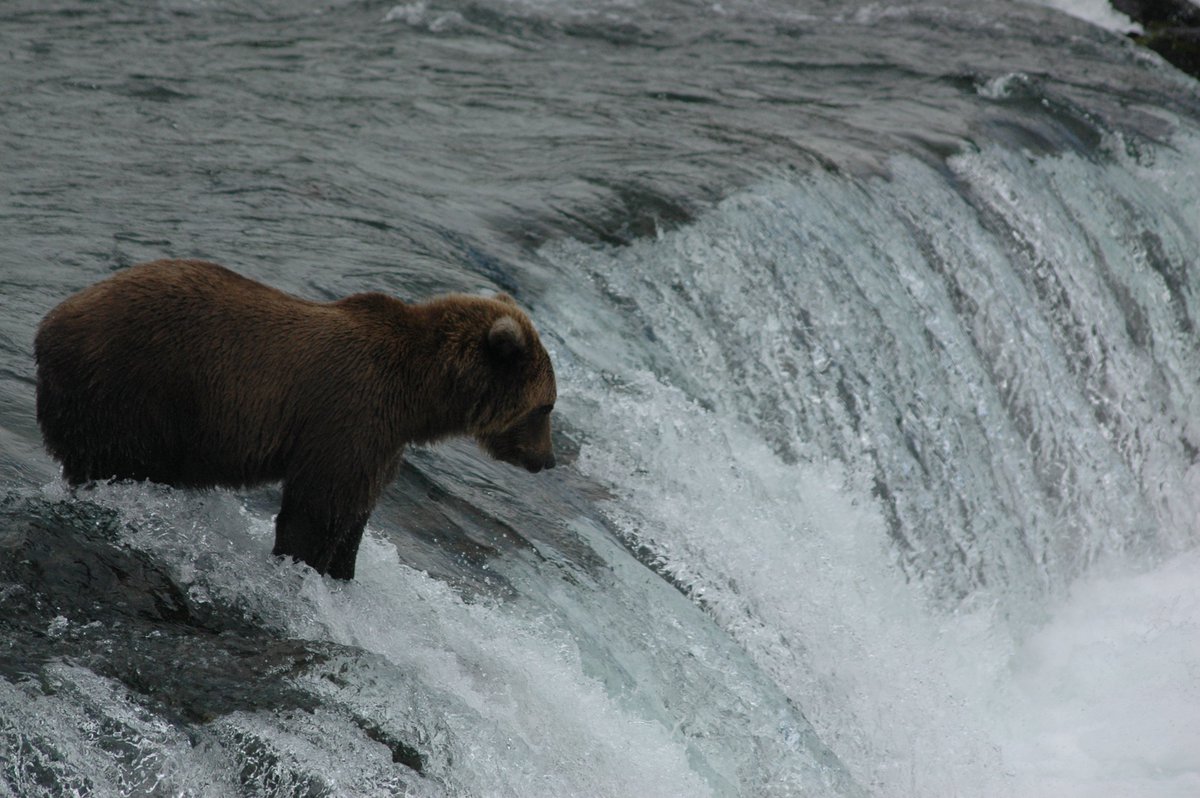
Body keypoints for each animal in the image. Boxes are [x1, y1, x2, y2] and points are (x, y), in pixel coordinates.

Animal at [34, 259, 556, 580]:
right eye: (547, 407)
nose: (547, 460)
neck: (419, 396)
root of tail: (48, 324)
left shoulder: (382, 441)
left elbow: (353, 512)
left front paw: (341, 569)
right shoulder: (350, 416)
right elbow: (319, 508)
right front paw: (305, 564)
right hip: (133, 390)